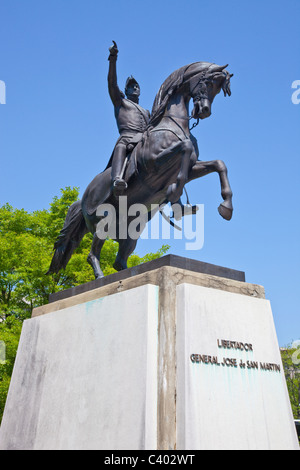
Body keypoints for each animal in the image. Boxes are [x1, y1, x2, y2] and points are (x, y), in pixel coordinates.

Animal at [47, 59, 234, 280]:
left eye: (219, 88)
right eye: (207, 83)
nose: (203, 111)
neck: (174, 125)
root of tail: (83, 198)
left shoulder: (191, 169)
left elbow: (219, 164)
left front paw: (226, 207)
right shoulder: (153, 164)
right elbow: (185, 148)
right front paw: (174, 192)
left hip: (134, 228)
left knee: (119, 261)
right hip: (105, 217)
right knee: (93, 253)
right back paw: (100, 275)